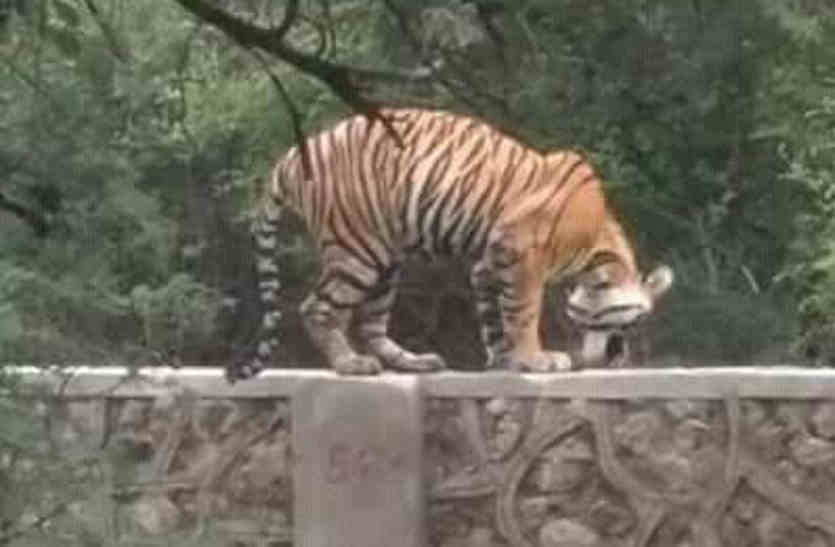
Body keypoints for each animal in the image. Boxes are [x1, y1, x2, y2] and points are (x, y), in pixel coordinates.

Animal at [227, 107, 673, 382]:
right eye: (632, 323)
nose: (619, 358)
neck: (595, 249)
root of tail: (293, 154)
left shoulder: (488, 262)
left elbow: (495, 317)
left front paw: (504, 361)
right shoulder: (521, 253)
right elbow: (523, 312)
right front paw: (537, 359)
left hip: (385, 258)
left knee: (372, 322)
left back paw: (412, 361)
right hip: (358, 249)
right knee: (317, 308)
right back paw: (351, 364)